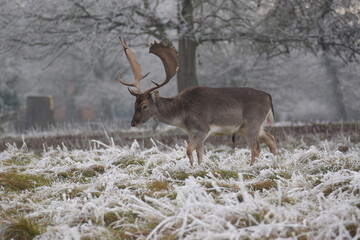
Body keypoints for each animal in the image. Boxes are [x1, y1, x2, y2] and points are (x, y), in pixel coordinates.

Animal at [119, 37, 278, 165]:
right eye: (135, 104)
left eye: (144, 106)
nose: (133, 122)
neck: (183, 117)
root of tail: (268, 96)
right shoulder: (193, 132)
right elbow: (199, 153)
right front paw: (200, 168)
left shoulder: (203, 128)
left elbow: (189, 150)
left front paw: (192, 168)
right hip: (254, 126)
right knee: (271, 138)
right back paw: (275, 164)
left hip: (252, 124)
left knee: (256, 149)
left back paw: (251, 168)